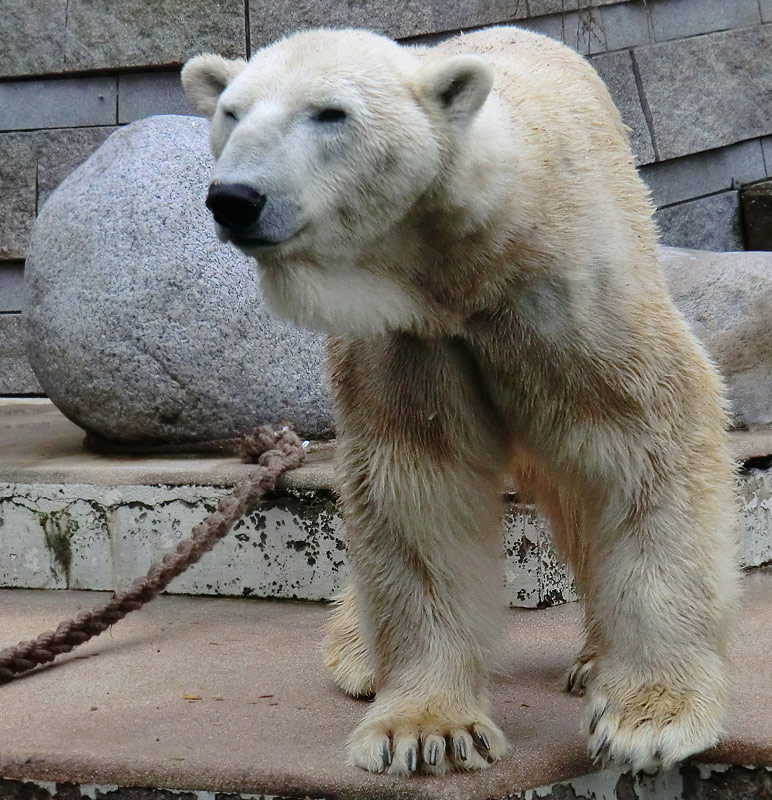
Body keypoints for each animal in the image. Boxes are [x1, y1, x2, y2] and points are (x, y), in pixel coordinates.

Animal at [182, 28, 740, 780]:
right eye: (231, 113)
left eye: (330, 113)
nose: (236, 198)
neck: (464, 265)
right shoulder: (407, 335)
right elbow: (416, 486)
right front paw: (424, 731)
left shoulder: (568, 298)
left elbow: (645, 440)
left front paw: (648, 717)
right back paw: (358, 654)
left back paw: (592, 660)